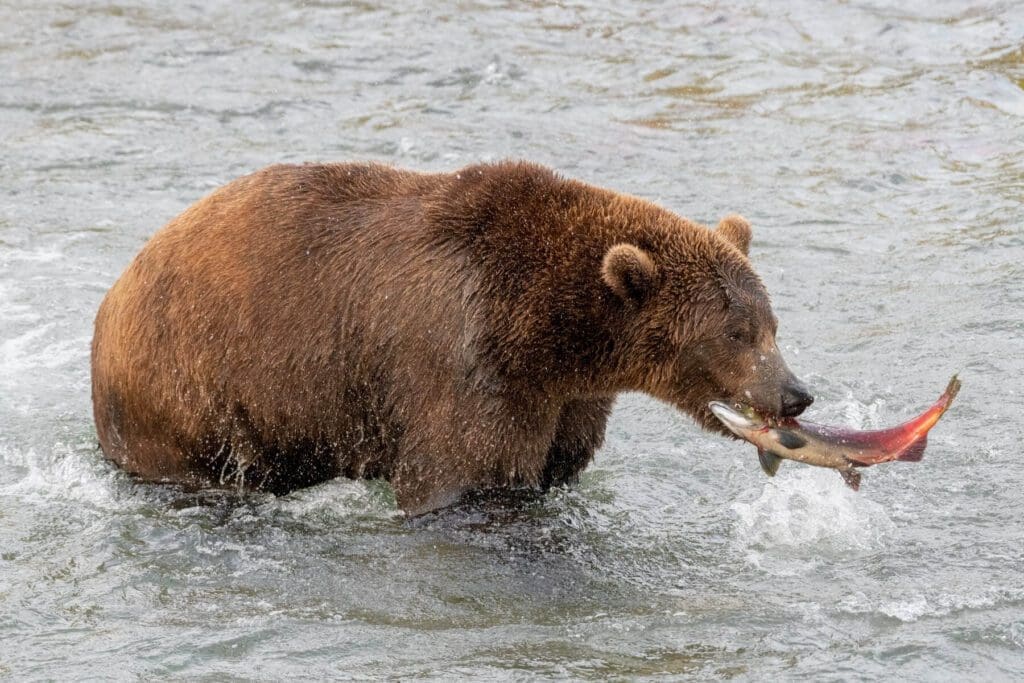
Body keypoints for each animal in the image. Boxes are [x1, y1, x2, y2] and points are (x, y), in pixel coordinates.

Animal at [94, 161, 815, 511]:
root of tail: (114, 294)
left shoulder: (567, 397)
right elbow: (464, 476)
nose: (794, 392)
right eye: (737, 332)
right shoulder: (465, 369)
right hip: (191, 386)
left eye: (772, 324)